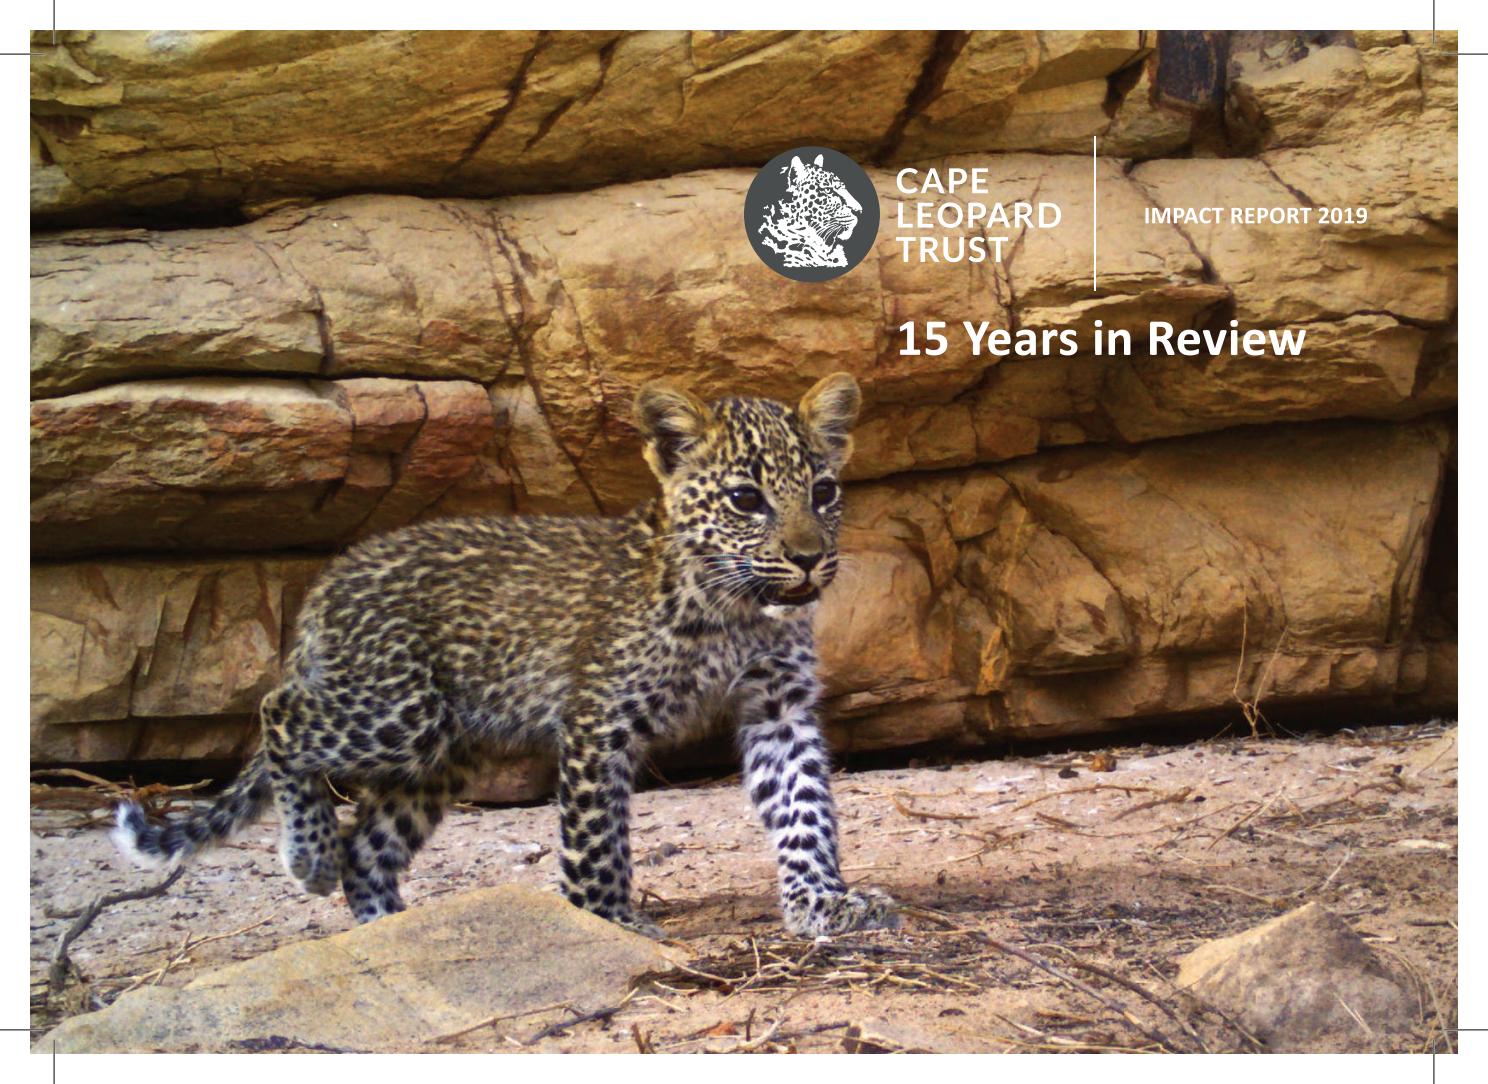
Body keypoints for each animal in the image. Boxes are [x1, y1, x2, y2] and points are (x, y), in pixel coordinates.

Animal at [113, 372, 899, 939]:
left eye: (823, 491)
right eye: (745, 499)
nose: (809, 559)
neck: (738, 613)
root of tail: (330, 580)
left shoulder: (777, 708)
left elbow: (804, 807)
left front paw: (824, 902)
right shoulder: (599, 719)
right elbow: (594, 834)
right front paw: (605, 920)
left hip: (439, 751)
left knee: (368, 849)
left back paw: (396, 931)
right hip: (397, 711)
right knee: (281, 714)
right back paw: (307, 853)